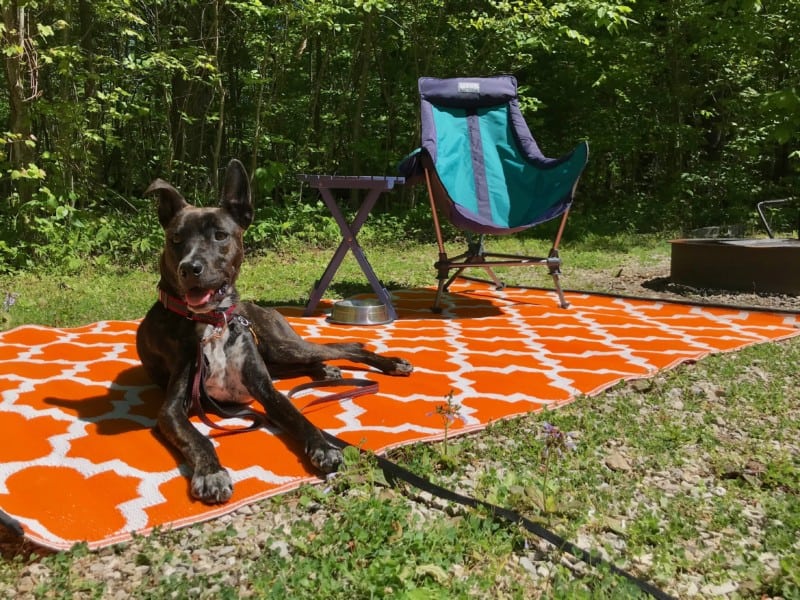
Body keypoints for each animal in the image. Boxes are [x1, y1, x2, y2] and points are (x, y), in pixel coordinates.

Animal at [136, 158, 412, 502]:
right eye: (175, 238)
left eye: (220, 235)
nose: (189, 268)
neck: (215, 322)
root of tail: (260, 307)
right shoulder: (172, 409)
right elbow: (198, 438)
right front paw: (212, 472)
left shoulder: (265, 388)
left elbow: (297, 416)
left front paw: (323, 446)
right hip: (277, 355)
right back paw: (325, 370)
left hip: (282, 345)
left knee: (348, 346)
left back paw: (386, 363)